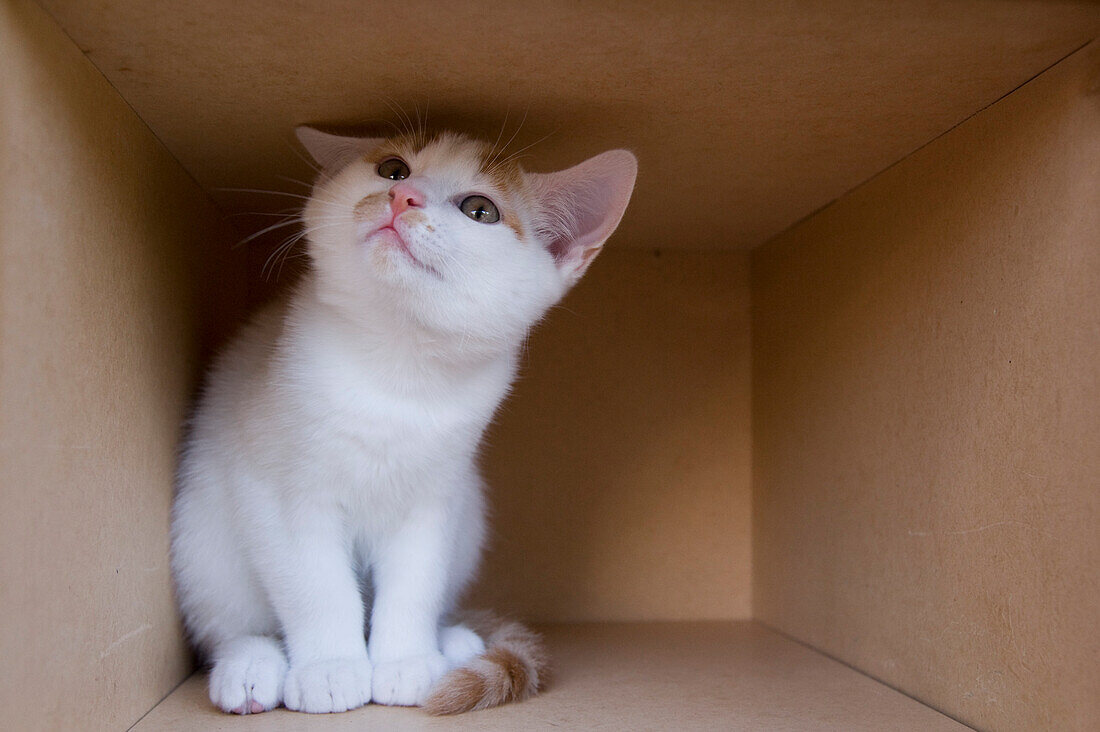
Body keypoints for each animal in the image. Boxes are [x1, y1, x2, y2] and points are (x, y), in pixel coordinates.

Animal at [169, 127, 638, 713]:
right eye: (392, 169)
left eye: (480, 210)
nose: (402, 197)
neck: (395, 366)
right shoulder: (282, 492)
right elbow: (316, 586)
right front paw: (330, 668)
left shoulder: (437, 499)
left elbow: (416, 582)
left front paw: (405, 661)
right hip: (201, 536)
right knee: (226, 625)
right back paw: (250, 667)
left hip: (471, 516)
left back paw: (454, 642)